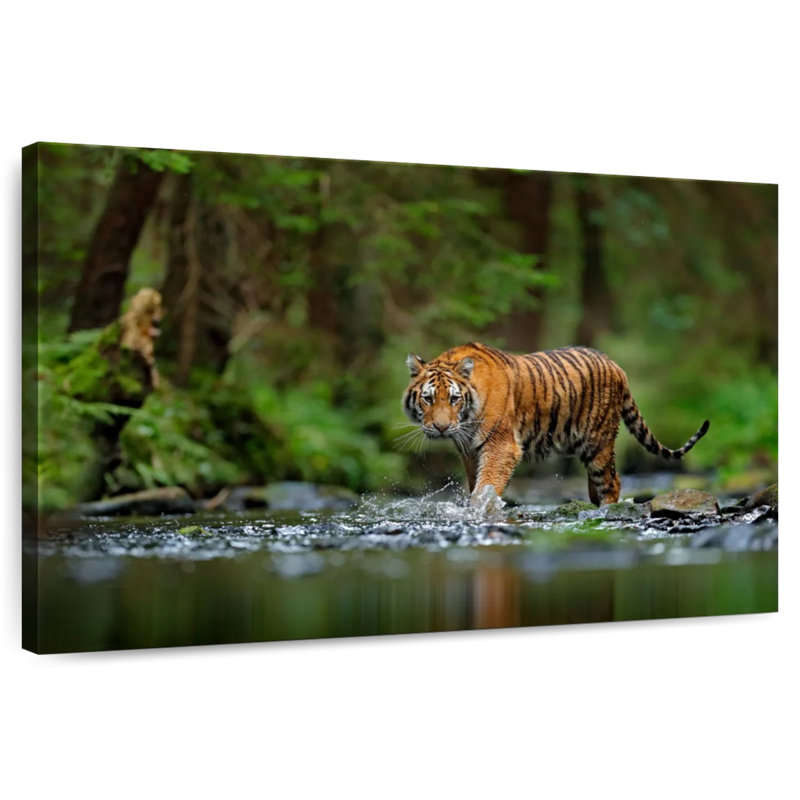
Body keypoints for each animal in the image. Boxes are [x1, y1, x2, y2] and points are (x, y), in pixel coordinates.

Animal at [402, 342, 709, 507]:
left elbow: (485, 486)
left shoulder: (501, 445)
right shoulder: (468, 451)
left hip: (597, 442)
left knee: (612, 482)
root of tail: (616, 365)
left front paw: (479, 510)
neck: (465, 420)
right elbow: (474, 483)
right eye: (428, 399)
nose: (441, 428)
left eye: (454, 399)